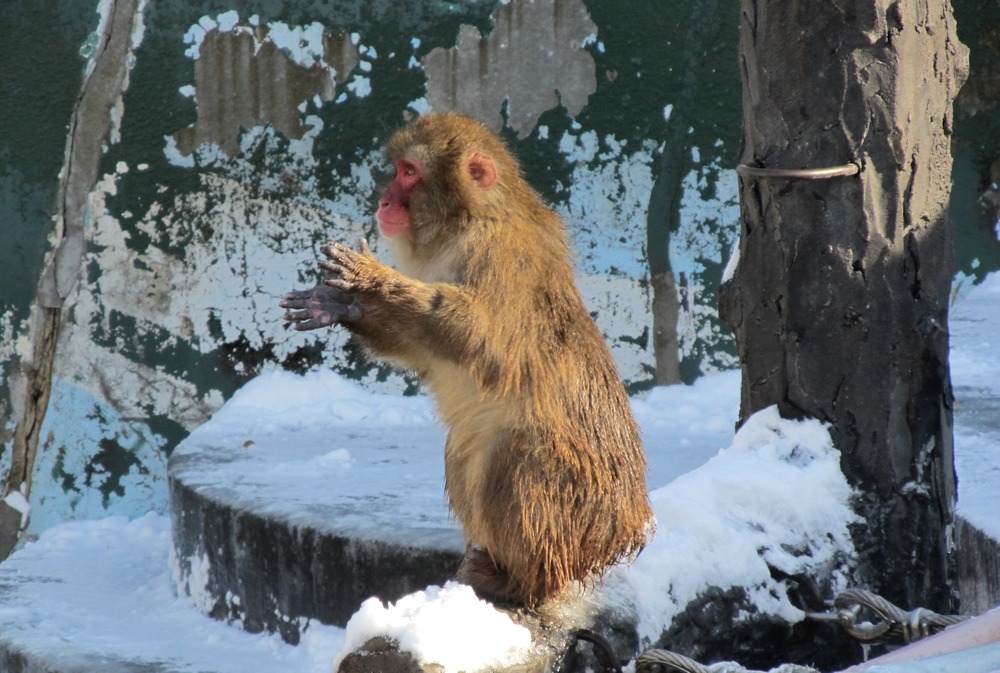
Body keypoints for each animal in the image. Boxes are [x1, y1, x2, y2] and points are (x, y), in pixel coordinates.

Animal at [282, 113, 656, 608]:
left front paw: (374, 280)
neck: (469, 220)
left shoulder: (496, 253)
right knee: (461, 448)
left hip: (575, 508)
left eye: (408, 172)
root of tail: (622, 531)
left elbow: (482, 337)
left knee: (514, 456)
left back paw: (524, 582)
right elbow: (424, 351)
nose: (384, 198)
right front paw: (342, 305)